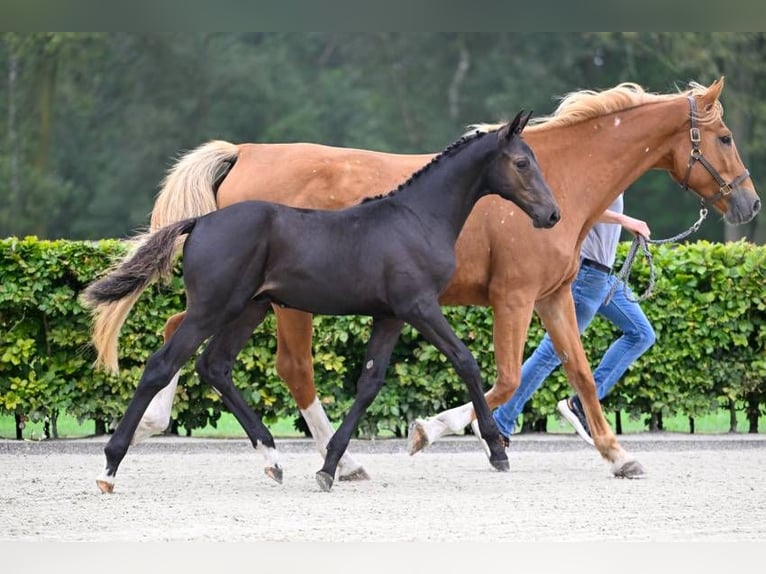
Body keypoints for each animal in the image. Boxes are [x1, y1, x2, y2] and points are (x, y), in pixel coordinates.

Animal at [93, 76, 760, 482]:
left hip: (253, 301)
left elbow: (578, 373)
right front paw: (438, 432)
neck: (563, 178)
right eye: (725, 137)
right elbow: (503, 375)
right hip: (280, 305)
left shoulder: (553, 299)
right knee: (285, 368)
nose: (749, 204)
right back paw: (325, 459)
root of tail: (244, 153)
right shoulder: (512, 298)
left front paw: (617, 454)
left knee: (186, 336)